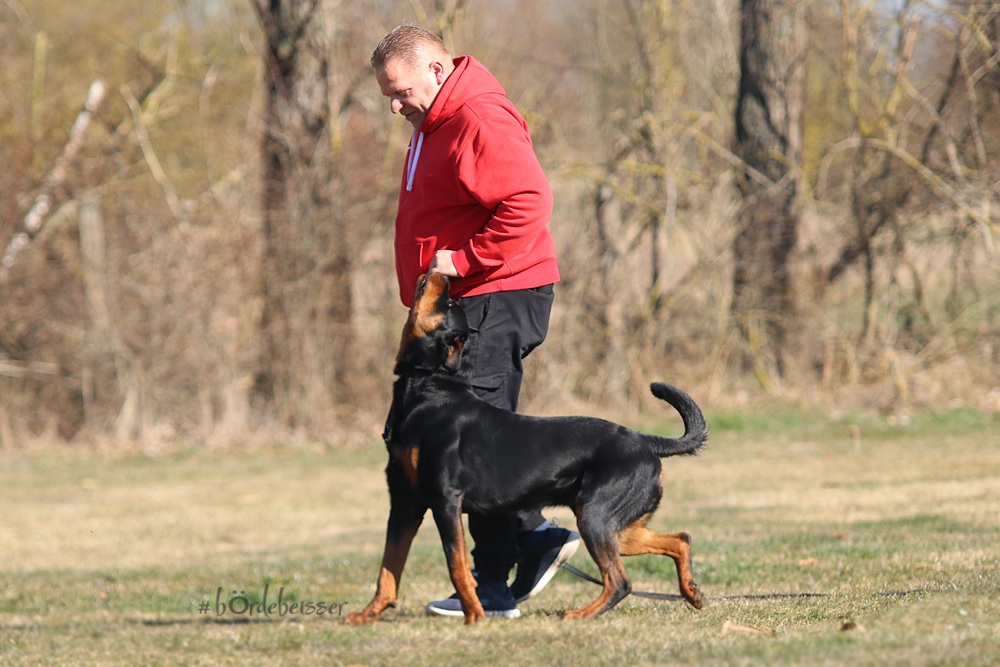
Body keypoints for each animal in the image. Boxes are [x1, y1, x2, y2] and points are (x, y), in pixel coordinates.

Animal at [345, 273, 708, 625]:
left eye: (448, 302)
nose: (444, 277)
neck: (427, 388)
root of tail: (645, 439)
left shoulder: (444, 501)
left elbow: (456, 566)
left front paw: (474, 616)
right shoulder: (404, 503)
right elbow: (388, 569)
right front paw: (366, 615)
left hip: (596, 517)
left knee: (620, 581)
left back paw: (581, 614)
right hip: (618, 527)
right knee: (680, 539)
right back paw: (691, 593)